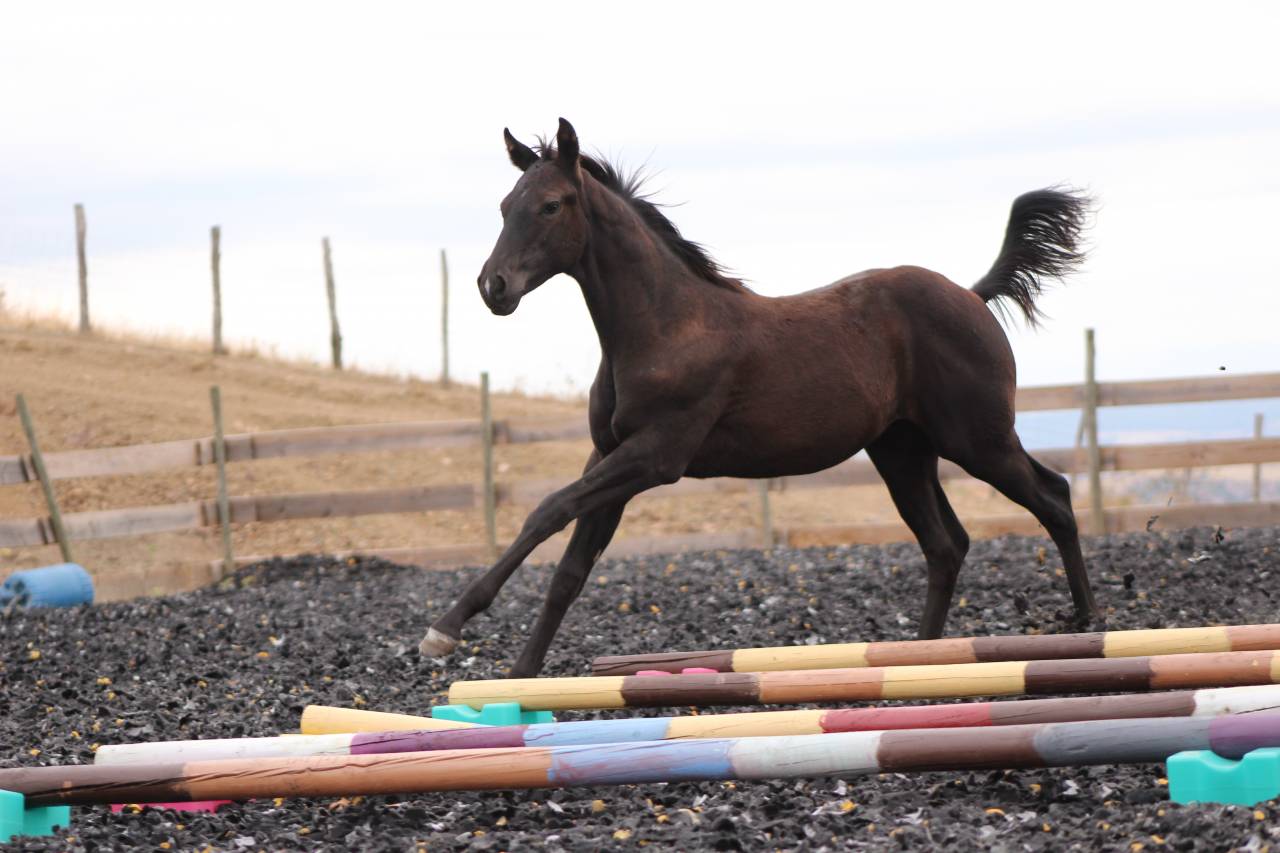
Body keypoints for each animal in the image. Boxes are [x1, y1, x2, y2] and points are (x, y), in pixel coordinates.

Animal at [419, 118, 1102, 677]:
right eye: (506, 205)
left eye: (552, 205)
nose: (493, 286)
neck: (663, 326)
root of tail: (971, 294)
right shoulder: (608, 455)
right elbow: (570, 568)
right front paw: (518, 677)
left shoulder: (655, 457)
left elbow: (547, 511)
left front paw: (446, 629)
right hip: (903, 452)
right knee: (946, 544)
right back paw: (921, 658)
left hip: (978, 440)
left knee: (1054, 498)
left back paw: (1086, 623)